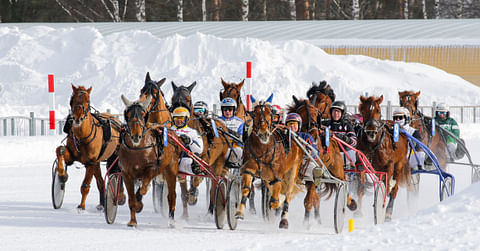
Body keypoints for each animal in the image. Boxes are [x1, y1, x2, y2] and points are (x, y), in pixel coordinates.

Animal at [119, 94, 181, 227]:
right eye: (128, 114)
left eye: (143, 113)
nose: (136, 135)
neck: (137, 148)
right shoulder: (126, 174)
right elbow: (131, 199)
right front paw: (132, 221)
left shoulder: (153, 169)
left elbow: (143, 189)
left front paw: (139, 203)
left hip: (171, 170)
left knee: (171, 196)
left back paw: (171, 221)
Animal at [170, 81, 230, 218]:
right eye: (173, 98)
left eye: (188, 99)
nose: (179, 112)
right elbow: (183, 192)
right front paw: (185, 216)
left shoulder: (204, 159)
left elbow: (197, 179)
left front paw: (193, 195)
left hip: (218, 162)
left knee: (214, 185)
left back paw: (211, 209)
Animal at [234, 99, 302, 228]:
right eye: (255, 115)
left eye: (270, 114)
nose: (264, 133)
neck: (264, 149)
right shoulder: (249, 168)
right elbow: (246, 189)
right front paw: (239, 212)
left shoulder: (277, 175)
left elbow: (275, 200)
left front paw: (277, 204)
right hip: (266, 177)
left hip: (293, 171)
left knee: (288, 194)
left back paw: (283, 219)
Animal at [286, 97, 354, 225]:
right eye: (302, 114)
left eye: (316, 114)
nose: (314, 135)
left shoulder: (313, 175)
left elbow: (308, 200)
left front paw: (306, 223)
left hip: (336, 170)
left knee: (343, 182)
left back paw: (350, 203)